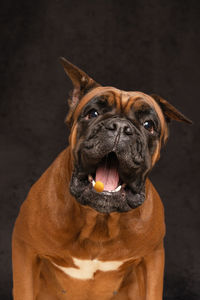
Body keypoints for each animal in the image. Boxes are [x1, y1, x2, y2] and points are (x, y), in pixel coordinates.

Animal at [11, 57, 192, 298]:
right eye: (93, 114)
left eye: (149, 125)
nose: (121, 127)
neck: (99, 220)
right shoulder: (25, 250)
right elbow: (24, 289)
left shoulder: (152, 258)